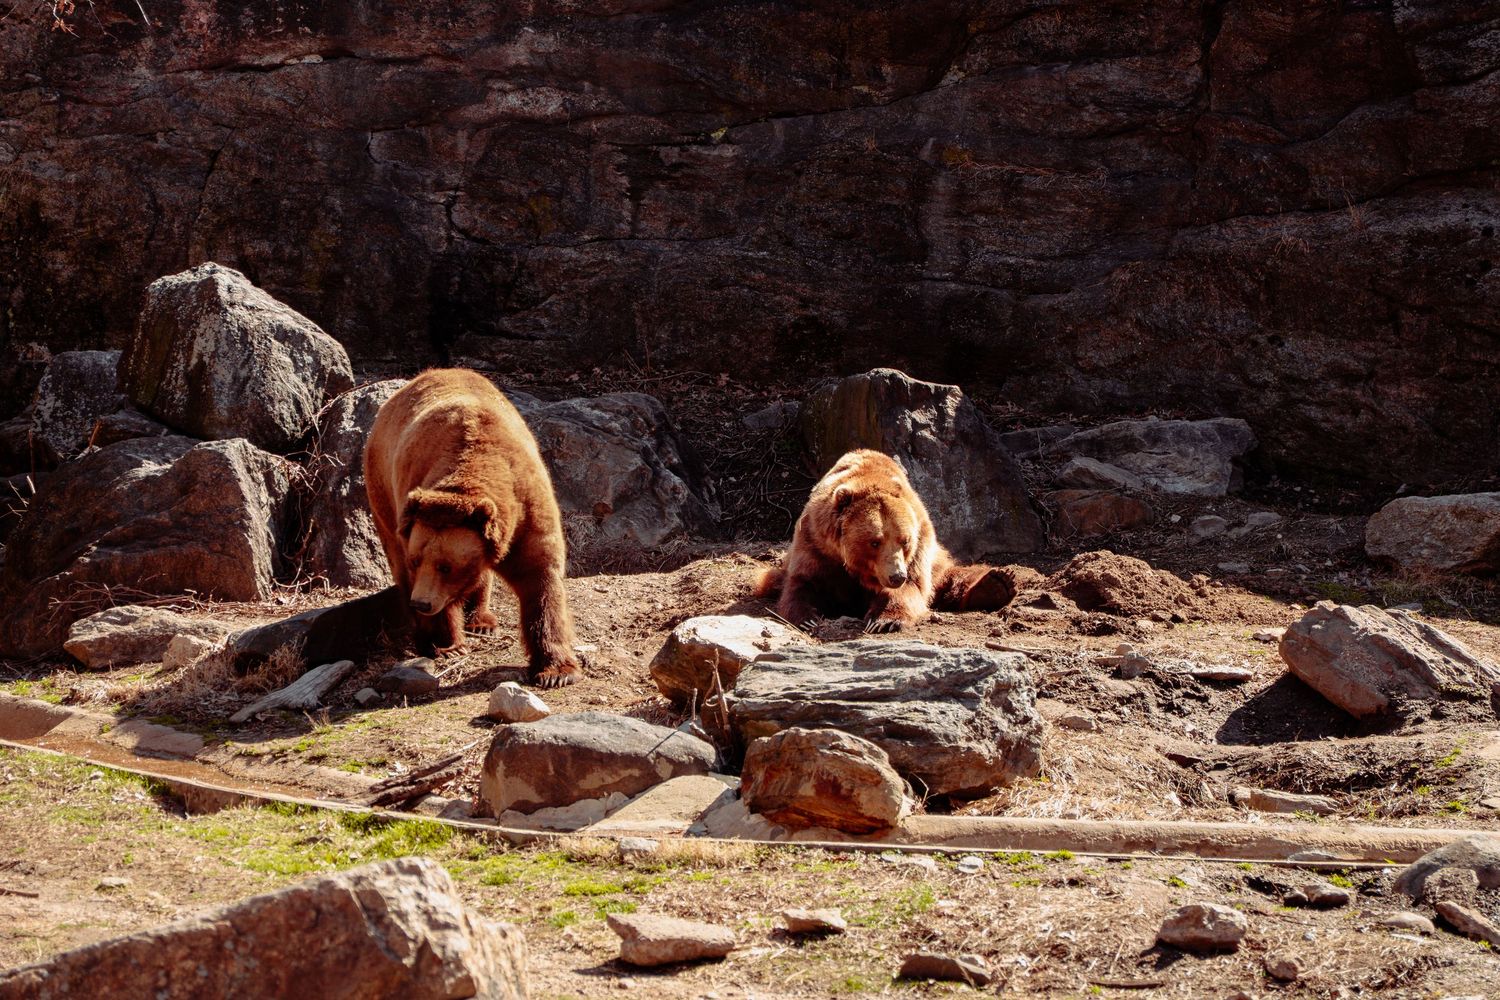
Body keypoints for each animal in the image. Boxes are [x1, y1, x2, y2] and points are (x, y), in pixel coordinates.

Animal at [364, 368, 581, 688]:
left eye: (446, 566)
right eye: (417, 560)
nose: (422, 603)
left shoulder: (527, 507)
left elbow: (540, 576)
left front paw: (556, 671)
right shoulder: (412, 494)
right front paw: (446, 645)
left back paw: (481, 621)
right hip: (382, 492)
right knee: (394, 556)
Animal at [757, 449, 1016, 632]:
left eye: (904, 541)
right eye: (875, 541)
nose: (896, 575)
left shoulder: (920, 542)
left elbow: (911, 588)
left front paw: (884, 620)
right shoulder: (815, 543)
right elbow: (802, 583)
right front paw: (807, 619)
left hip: (937, 561)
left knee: (949, 576)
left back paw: (997, 582)